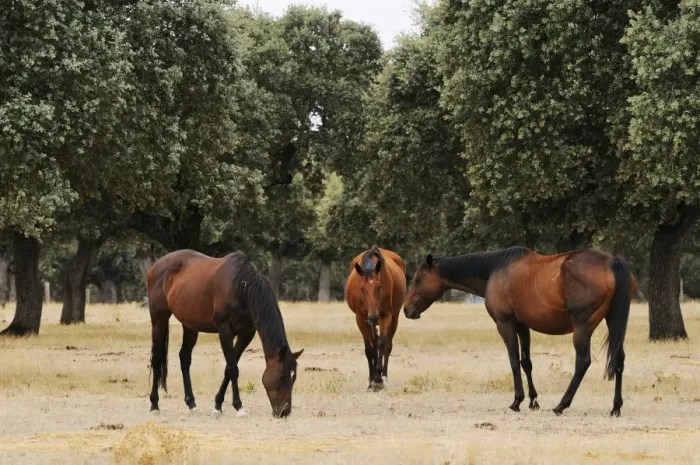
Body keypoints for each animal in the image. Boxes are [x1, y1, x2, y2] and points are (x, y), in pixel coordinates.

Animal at [146, 249, 303, 418]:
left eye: (294, 377)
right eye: (282, 376)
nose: (284, 412)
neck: (242, 287)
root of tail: (155, 266)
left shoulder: (246, 334)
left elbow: (229, 368)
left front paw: (218, 405)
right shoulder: (225, 331)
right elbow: (233, 369)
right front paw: (239, 407)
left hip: (190, 325)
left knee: (185, 358)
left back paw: (192, 404)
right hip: (159, 319)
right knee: (156, 358)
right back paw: (154, 405)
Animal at [345, 246, 407, 390]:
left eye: (379, 286)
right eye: (361, 288)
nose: (373, 317)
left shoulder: (386, 315)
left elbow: (382, 343)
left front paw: (378, 380)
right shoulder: (361, 318)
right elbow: (369, 348)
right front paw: (371, 380)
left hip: (394, 317)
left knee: (387, 345)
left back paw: (384, 376)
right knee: (373, 342)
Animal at [403, 246, 636, 417]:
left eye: (417, 280)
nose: (406, 309)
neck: (495, 271)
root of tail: (612, 262)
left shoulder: (505, 324)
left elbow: (514, 360)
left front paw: (517, 400)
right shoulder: (523, 326)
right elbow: (527, 363)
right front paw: (533, 400)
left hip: (582, 328)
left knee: (583, 362)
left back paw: (562, 404)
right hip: (613, 323)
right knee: (619, 359)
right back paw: (616, 407)